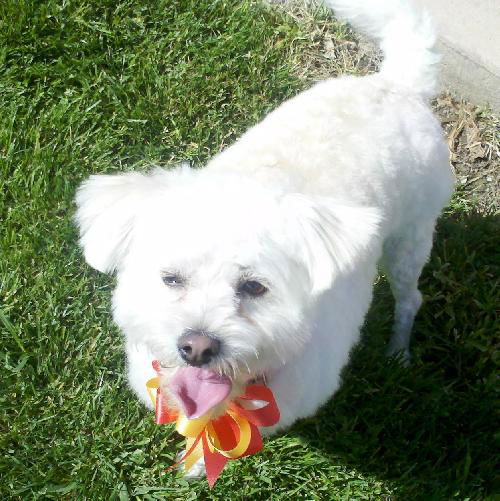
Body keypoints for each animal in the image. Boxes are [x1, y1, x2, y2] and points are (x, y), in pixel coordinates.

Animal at [74, 0, 454, 446]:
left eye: (255, 287)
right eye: (170, 279)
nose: (197, 347)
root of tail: (397, 84)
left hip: (410, 238)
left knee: (410, 298)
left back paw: (398, 350)